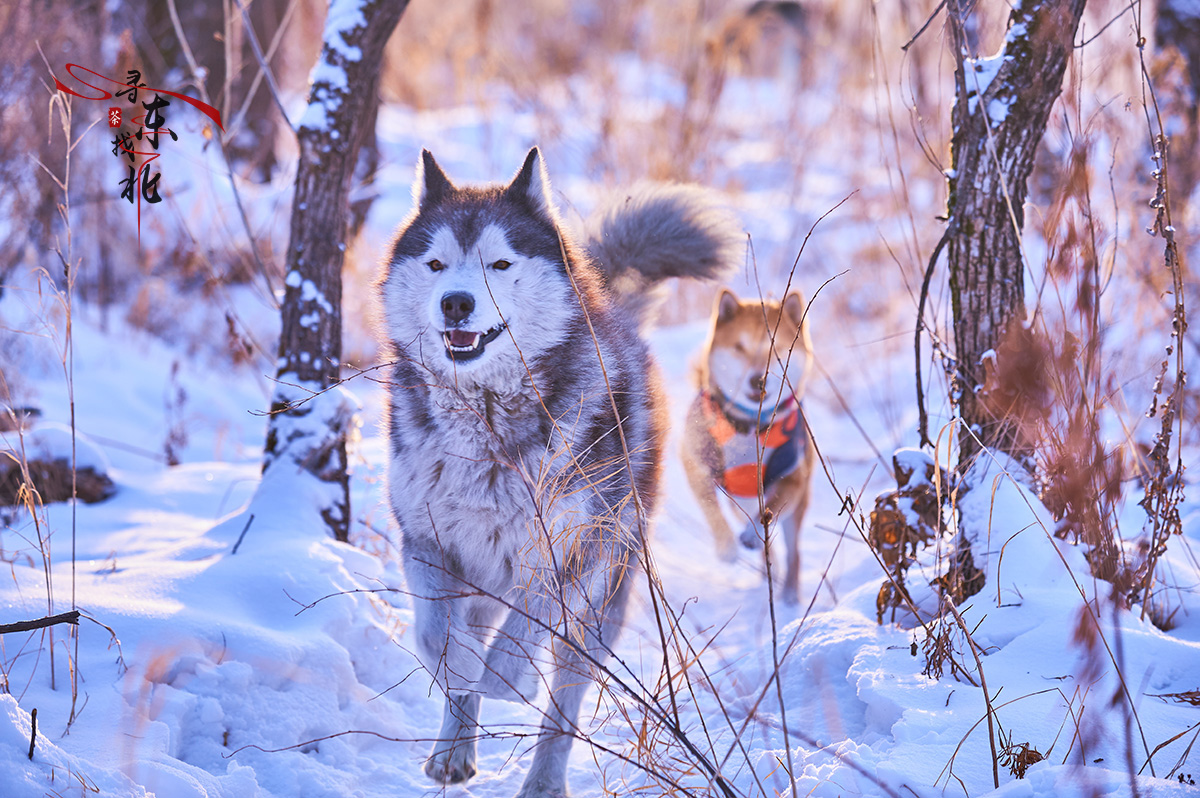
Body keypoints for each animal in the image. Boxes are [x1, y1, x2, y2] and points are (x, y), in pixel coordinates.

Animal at [379, 146, 744, 792]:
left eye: (500, 263)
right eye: (435, 263)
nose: (456, 302)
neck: (486, 421)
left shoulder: (572, 551)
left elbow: (520, 637)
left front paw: (504, 677)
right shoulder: (425, 541)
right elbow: (435, 635)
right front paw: (459, 671)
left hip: (602, 601)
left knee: (564, 702)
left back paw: (544, 779)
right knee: (472, 635)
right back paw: (454, 749)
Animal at [686, 288, 816, 604]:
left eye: (776, 347)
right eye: (739, 347)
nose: (758, 378)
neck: (748, 426)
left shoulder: (793, 477)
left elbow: (772, 507)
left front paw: (750, 533)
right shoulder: (694, 459)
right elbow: (709, 506)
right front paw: (726, 547)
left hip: (795, 509)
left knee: (793, 551)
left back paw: (789, 592)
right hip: (738, 502)